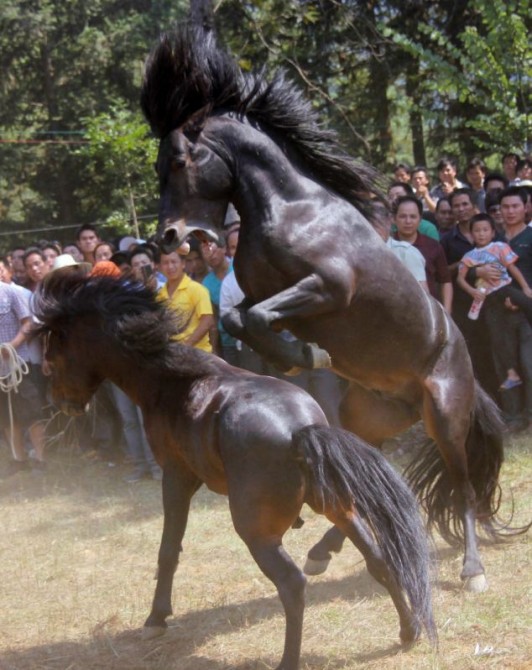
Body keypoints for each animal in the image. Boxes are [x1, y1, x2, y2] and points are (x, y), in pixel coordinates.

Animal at [37, 274, 436, 670]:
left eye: (52, 356)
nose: (61, 403)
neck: (172, 381)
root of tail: (302, 430)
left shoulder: (177, 475)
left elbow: (168, 549)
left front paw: (155, 619)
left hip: (257, 532)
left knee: (292, 584)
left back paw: (288, 661)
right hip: (338, 507)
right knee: (379, 559)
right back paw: (408, 630)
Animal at [141, 25, 516, 592]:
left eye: (181, 161)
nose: (166, 237)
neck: (292, 209)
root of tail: (468, 370)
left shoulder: (330, 289)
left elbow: (252, 318)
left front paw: (304, 355)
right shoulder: (264, 293)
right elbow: (239, 317)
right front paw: (300, 353)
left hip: (445, 416)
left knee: (464, 487)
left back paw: (473, 570)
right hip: (371, 419)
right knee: (358, 477)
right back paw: (322, 552)